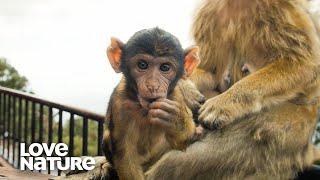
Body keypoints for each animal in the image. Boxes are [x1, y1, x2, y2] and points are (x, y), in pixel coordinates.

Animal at [106, 27, 199, 180]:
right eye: (142, 65)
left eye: (165, 67)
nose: (153, 85)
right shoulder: (120, 103)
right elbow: (125, 154)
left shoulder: (175, 97)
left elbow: (181, 145)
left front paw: (176, 120)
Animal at [146, 0, 320, 179]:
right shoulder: (210, 13)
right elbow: (209, 72)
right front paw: (184, 88)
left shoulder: (280, 8)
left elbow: (306, 65)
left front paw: (223, 104)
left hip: (289, 128)